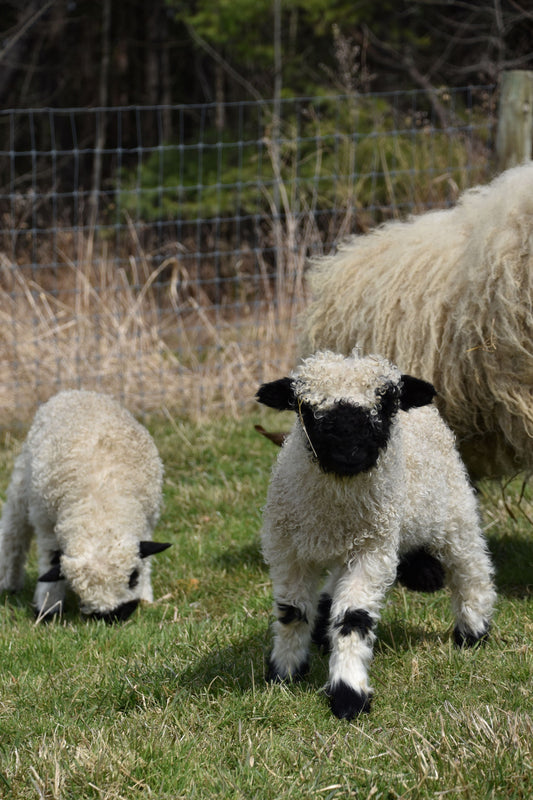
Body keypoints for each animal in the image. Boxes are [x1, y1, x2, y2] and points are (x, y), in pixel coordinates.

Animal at [0, 390, 171, 622]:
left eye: (133, 577)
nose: (115, 617)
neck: (100, 509)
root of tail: (73, 392)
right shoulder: (46, 527)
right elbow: (49, 564)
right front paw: (48, 608)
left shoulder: (148, 521)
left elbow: (147, 562)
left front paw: (146, 599)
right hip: (22, 483)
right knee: (13, 534)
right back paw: (8, 582)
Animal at [257, 349, 496, 720]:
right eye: (305, 407)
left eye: (386, 403)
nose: (349, 453)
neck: (335, 509)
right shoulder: (289, 551)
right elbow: (292, 613)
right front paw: (284, 673)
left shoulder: (371, 552)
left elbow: (354, 618)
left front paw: (348, 695)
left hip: (454, 511)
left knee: (471, 568)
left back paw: (473, 630)